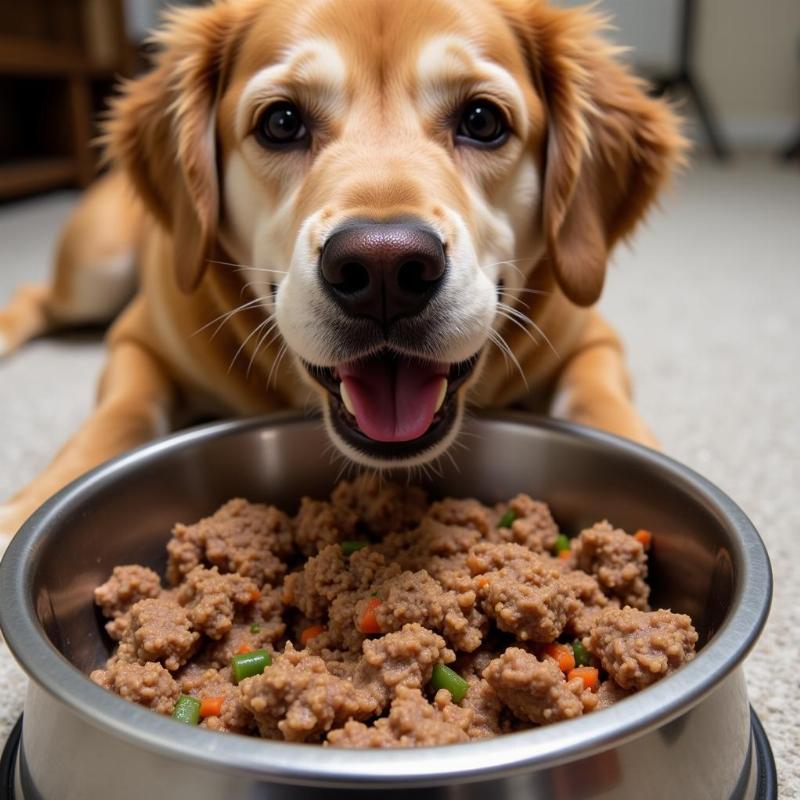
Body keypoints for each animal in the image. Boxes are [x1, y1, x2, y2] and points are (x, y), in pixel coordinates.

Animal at [0, 0, 688, 540]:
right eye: (281, 122)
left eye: (482, 120)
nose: (384, 268)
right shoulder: (139, 340)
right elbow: (118, 417)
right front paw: (31, 504)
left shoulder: (594, 340)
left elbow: (599, 403)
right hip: (96, 267)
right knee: (36, 296)